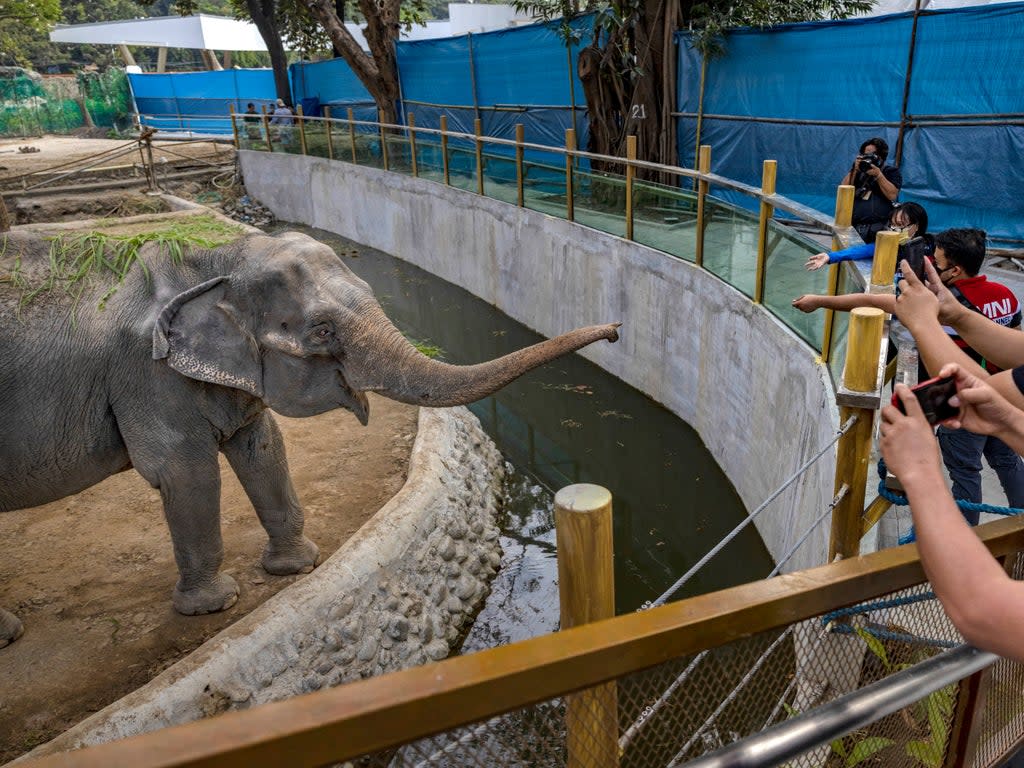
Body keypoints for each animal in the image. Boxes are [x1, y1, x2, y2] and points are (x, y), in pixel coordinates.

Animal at [0, 230, 618, 651]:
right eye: (321, 331)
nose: (614, 330)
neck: (215, 258)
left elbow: (262, 444)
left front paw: (300, 565)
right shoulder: (146, 373)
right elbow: (183, 470)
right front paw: (213, 606)